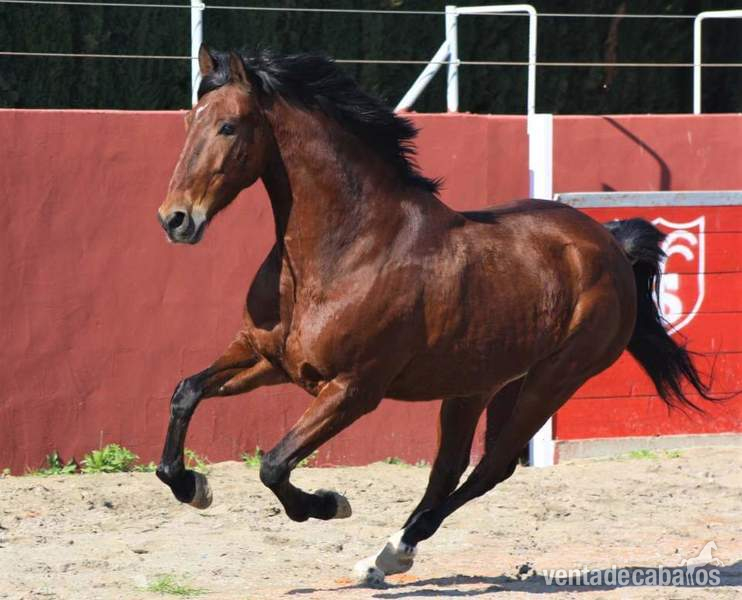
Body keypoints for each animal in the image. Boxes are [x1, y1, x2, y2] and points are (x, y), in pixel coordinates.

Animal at [155, 45, 715, 584]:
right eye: (188, 121)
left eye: (229, 126)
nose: (175, 219)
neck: (346, 249)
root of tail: (610, 244)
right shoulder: (268, 360)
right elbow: (186, 392)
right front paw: (192, 486)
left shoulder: (353, 390)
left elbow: (273, 465)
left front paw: (331, 504)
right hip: (480, 385)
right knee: (450, 469)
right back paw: (383, 558)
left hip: (552, 382)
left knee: (490, 469)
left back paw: (393, 552)